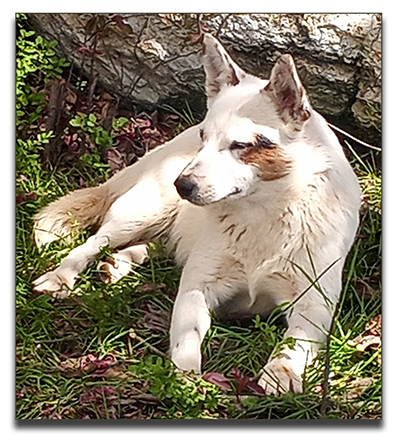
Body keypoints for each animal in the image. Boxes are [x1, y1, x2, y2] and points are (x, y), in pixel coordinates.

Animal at [32, 33, 360, 394]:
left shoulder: (314, 305)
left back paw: (120, 263)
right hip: (140, 213)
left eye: (240, 145)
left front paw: (280, 371)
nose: (182, 185)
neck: (264, 214)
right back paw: (62, 276)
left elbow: (294, 343)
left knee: (157, 246)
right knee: (92, 243)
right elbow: (187, 337)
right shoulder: (195, 290)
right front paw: (186, 377)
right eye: (205, 138)